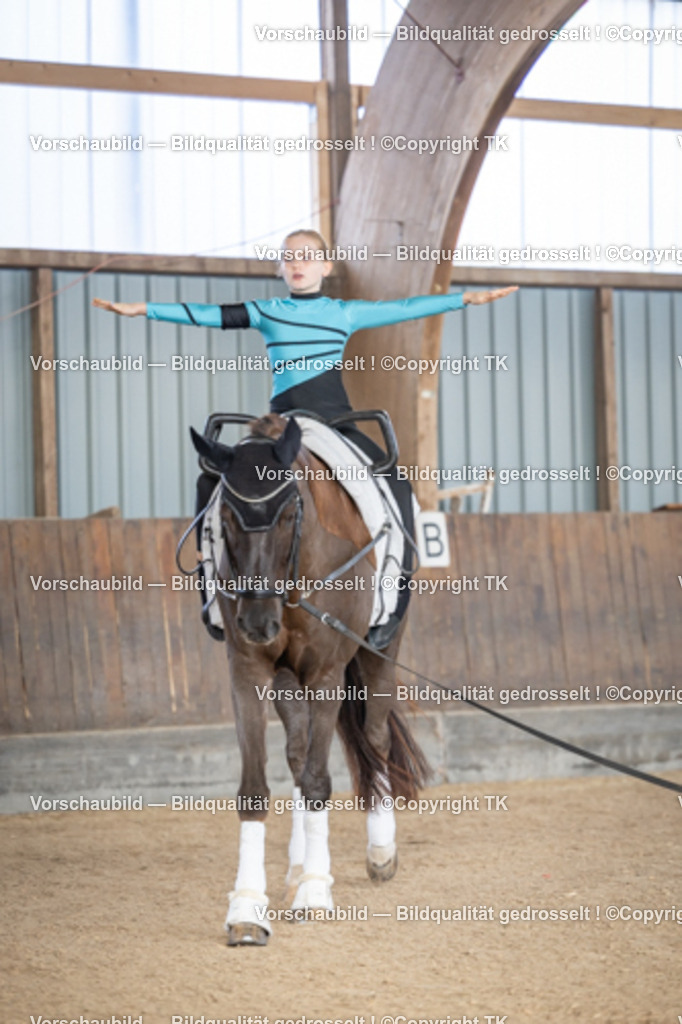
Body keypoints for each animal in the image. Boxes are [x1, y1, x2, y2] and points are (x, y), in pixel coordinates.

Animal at [190, 413, 430, 945]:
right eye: (226, 514)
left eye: (287, 512)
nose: (258, 621)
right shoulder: (249, 671)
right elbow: (257, 787)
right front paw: (247, 908)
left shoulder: (325, 673)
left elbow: (320, 780)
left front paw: (317, 894)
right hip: (286, 679)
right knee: (298, 754)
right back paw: (297, 867)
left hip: (381, 652)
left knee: (375, 737)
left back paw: (379, 851)